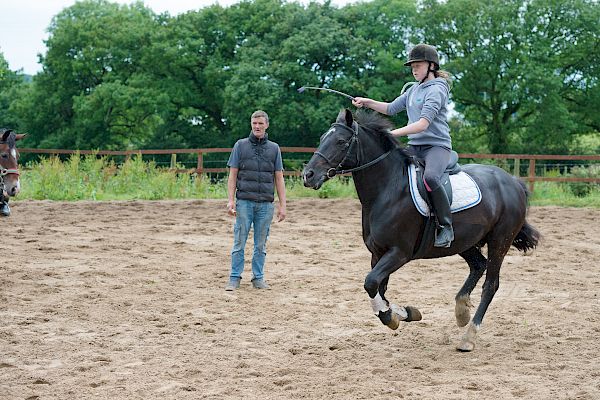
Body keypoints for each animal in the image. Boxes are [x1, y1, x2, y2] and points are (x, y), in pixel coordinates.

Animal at [302, 109, 540, 350]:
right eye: (322, 138)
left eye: (341, 141)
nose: (308, 175)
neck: (387, 190)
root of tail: (513, 182)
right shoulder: (377, 253)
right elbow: (378, 289)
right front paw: (404, 313)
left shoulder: (399, 252)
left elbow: (371, 283)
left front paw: (394, 316)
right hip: (464, 241)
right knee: (478, 265)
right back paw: (461, 310)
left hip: (500, 241)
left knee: (490, 285)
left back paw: (469, 336)